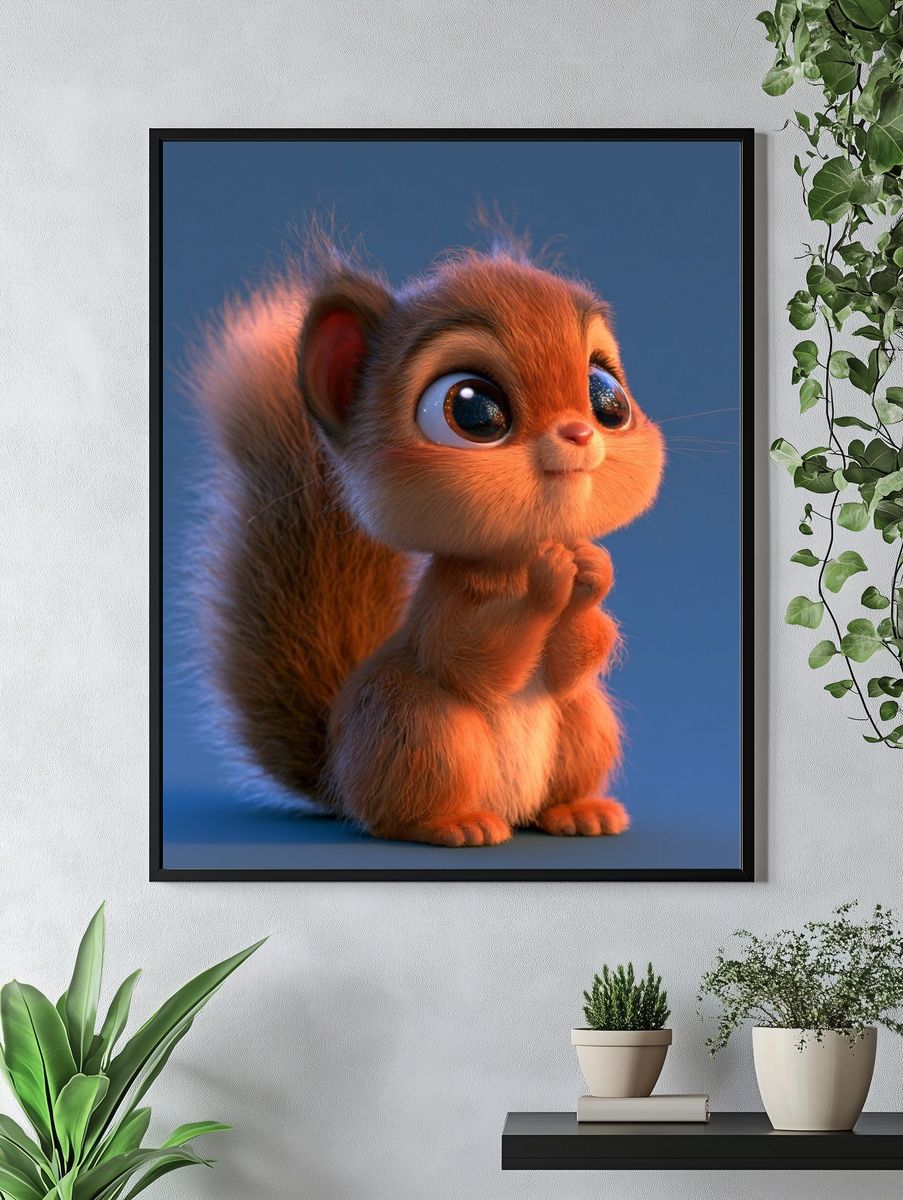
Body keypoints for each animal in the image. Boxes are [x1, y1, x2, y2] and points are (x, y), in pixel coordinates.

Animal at [188, 228, 664, 847]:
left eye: (608, 395)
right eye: (474, 410)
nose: (582, 433)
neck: (512, 559)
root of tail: (339, 777)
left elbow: (568, 664)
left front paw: (591, 572)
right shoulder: (444, 606)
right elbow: (475, 663)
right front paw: (550, 580)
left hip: (585, 724)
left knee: (565, 744)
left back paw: (579, 812)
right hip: (417, 728)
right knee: (399, 809)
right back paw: (453, 823)